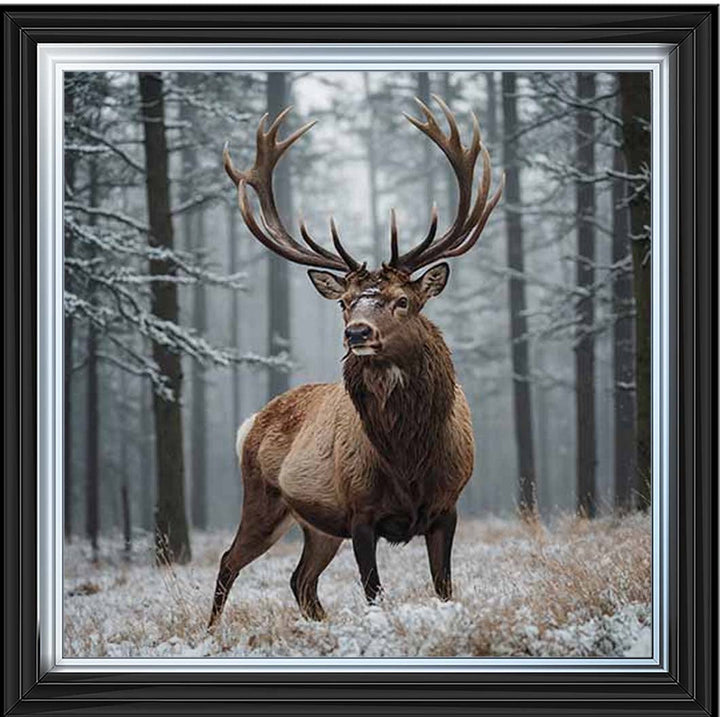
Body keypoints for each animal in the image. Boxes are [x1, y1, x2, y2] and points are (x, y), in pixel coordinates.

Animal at [209, 95, 503, 627]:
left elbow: (444, 587)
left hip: (318, 527)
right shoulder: (360, 512)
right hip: (264, 500)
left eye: (403, 301)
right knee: (229, 560)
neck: (409, 459)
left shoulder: (448, 507)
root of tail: (251, 422)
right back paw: (212, 632)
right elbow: (373, 592)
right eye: (345, 303)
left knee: (300, 580)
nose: (357, 333)